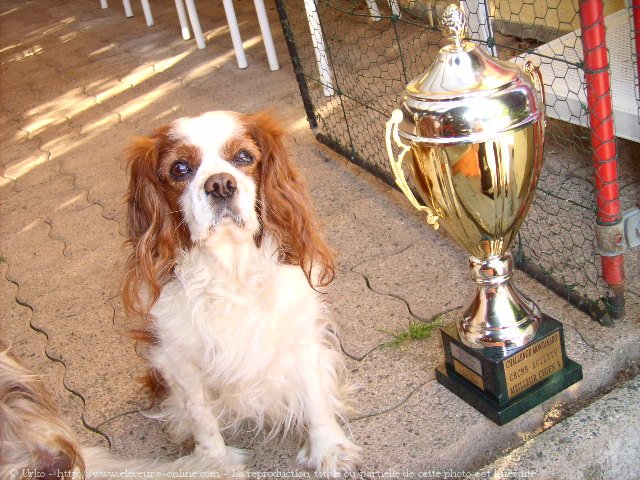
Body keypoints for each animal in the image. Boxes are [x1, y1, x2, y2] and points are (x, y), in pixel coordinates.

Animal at [119, 111, 360, 472]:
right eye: (179, 168)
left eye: (244, 157)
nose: (220, 184)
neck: (231, 272)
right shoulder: (179, 358)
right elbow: (200, 416)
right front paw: (214, 463)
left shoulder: (300, 337)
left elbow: (315, 397)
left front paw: (328, 449)